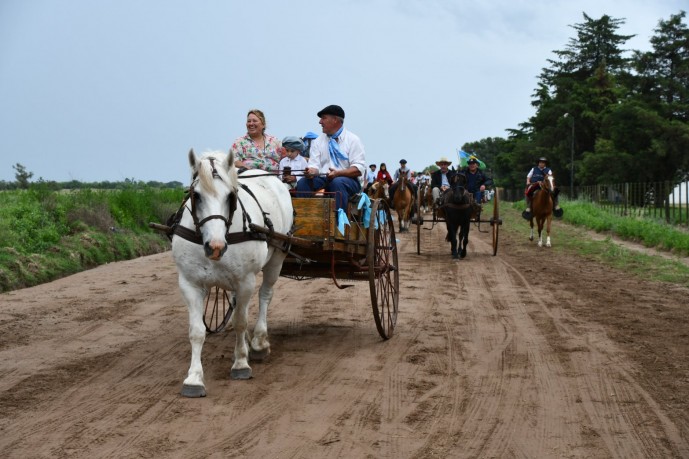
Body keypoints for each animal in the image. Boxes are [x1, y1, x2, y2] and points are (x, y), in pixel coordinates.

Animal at [172, 149, 292, 398]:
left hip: (277, 258)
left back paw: (258, 342)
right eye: (196, 196)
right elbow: (196, 331)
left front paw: (240, 364)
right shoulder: (189, 283)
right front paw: (194, 378)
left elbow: (240, 322)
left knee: (265, 295)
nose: (215, 246)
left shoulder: (246, 281)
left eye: (230, 196)